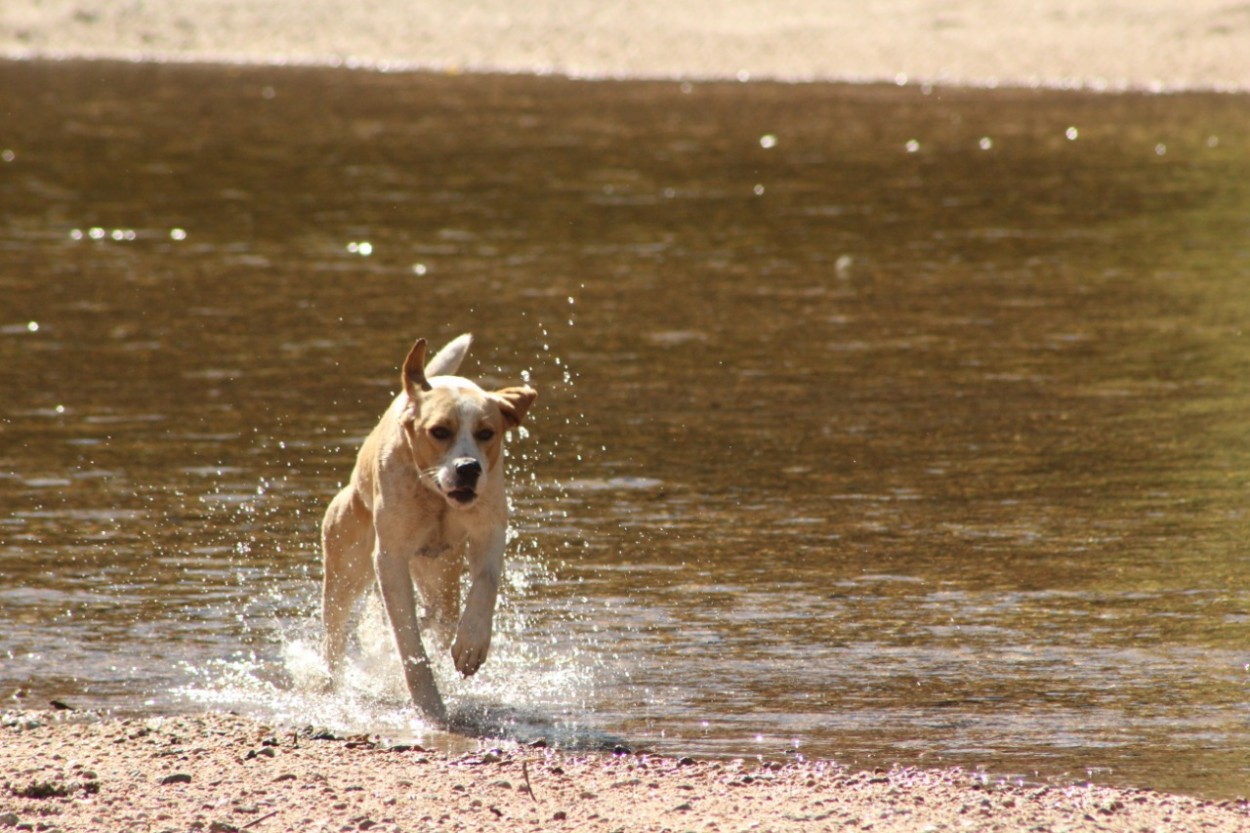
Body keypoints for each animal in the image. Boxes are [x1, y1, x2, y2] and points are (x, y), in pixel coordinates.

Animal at [320, 332, 535, 720]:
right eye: (439, 431)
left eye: (486, 433)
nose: (468, 468)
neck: (437, 497)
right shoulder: (390, 558)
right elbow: (408, 640)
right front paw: (429, 704)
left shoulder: (490, 530)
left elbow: (486, 583)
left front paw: (471, 643)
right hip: (345, 563)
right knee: (335, 633)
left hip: (440, 573)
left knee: (443, 614)